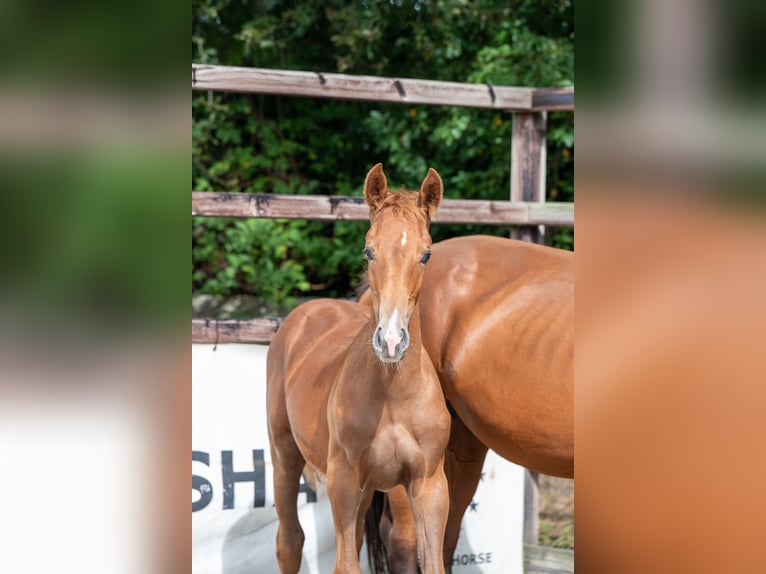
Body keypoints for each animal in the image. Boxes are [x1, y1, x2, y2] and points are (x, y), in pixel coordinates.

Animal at [268, 164, 452, 572]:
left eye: (426, 254)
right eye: (369, 250)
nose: (392, 341)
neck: (393, 397)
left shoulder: (429, 485)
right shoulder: (344, 483)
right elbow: (345, 565)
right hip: (284, 454)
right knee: (290, 540)